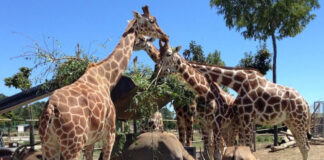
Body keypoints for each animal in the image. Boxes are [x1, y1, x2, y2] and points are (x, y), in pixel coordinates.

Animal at [38, 5, 168, 159]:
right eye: (152, 21)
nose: (164, 36)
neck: (107, 79)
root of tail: (50, 110)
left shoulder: (90, 141)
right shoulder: (110, 133)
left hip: (49, 145)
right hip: (73, 146)